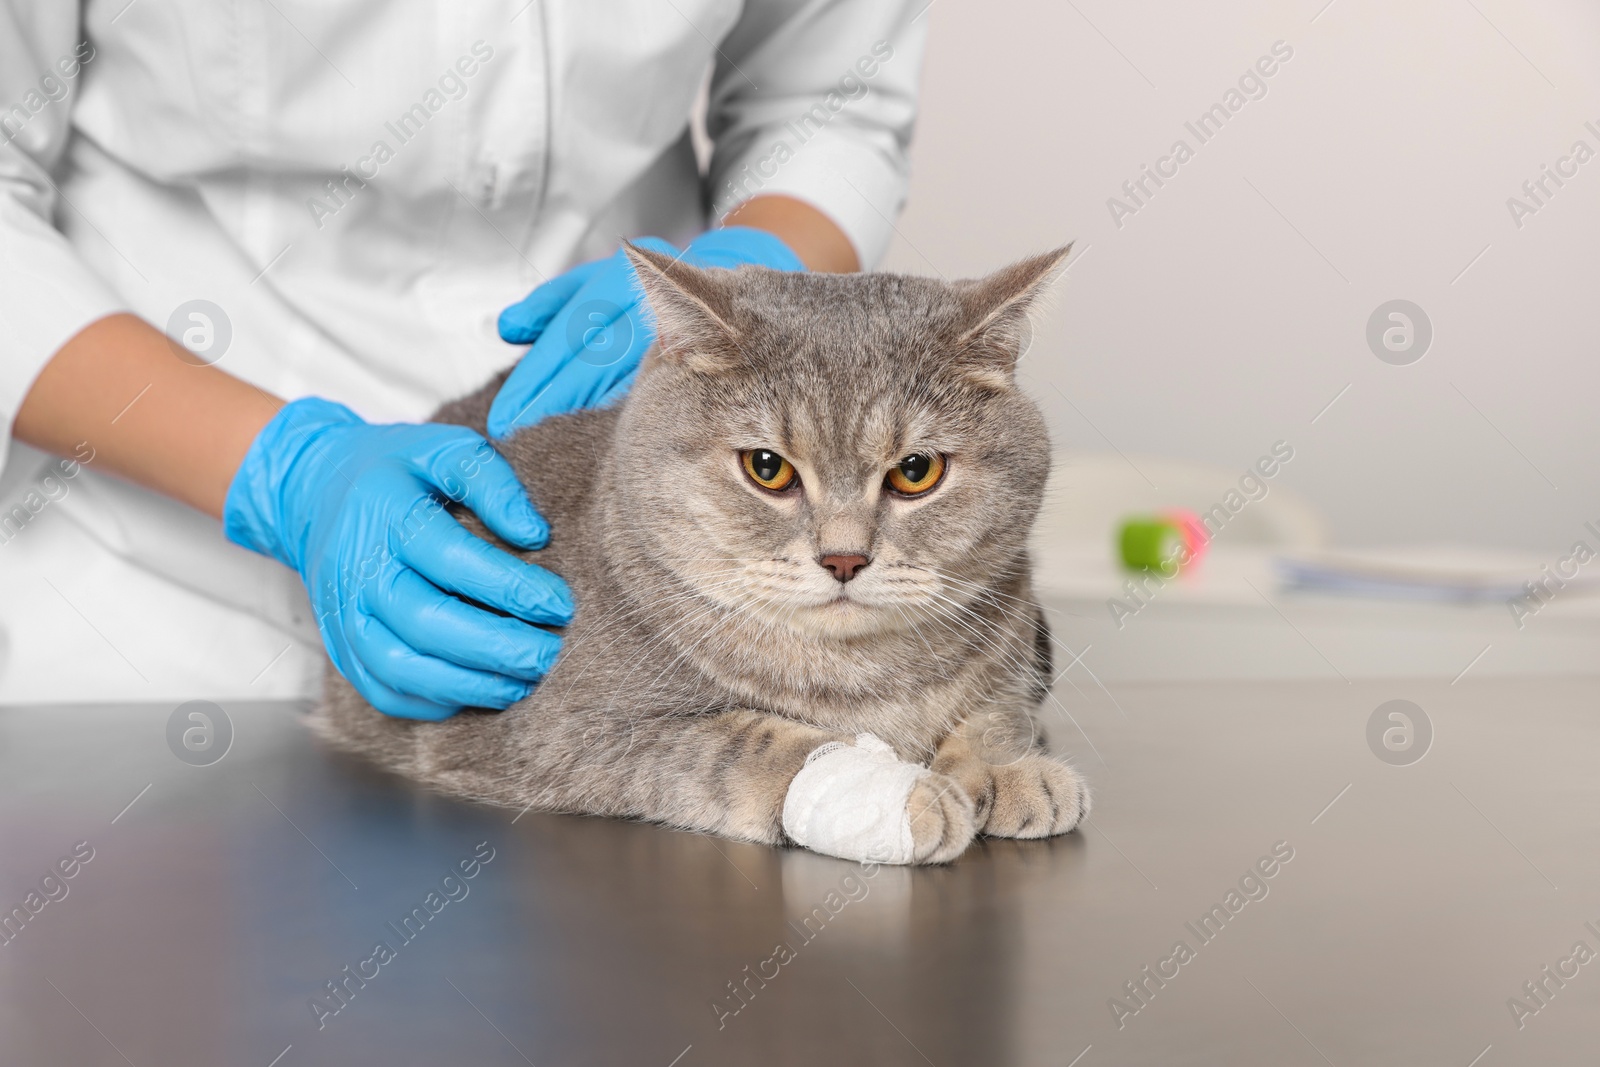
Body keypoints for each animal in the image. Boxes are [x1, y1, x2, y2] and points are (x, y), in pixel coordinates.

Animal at [312, 244, 1088, 870]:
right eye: (767, 468)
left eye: (917, 471)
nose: (843, 559)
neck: (865, 680)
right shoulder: (566, 733)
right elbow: (749, 742)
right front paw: (908, 797)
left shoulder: (1016, 653)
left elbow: (995, 713)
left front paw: (1013, 770)